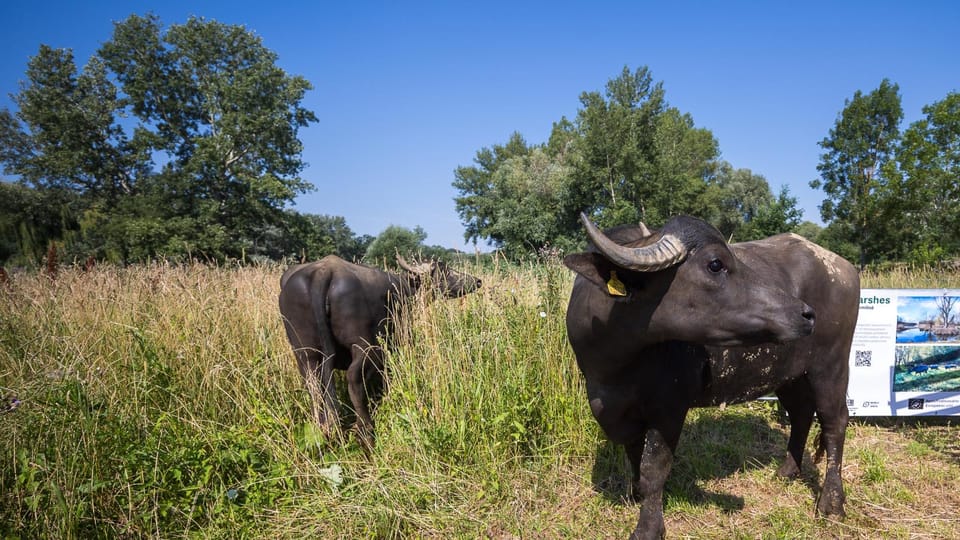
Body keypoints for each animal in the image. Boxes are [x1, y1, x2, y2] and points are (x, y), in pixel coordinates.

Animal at [282, 255, 484, 446]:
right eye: (445, 271)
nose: (477, 281)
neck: (405, 287)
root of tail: (323, 273)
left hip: (305, 353)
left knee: (313, 384)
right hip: (366, 347)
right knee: (354, 378)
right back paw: (366, 432)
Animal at [560, 215, 860, 540]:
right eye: (715, 264)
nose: (806, 314)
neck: (616, 364)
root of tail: (843, 267)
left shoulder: (669, 408)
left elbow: (654, 468)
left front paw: (648, 527)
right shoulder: (613, 408)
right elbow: (633, 454)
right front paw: (636, 493)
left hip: (831, 365)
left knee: (834, 423)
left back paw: (831, 502)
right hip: (789, 374)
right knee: (801, 413)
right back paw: (788, 471)